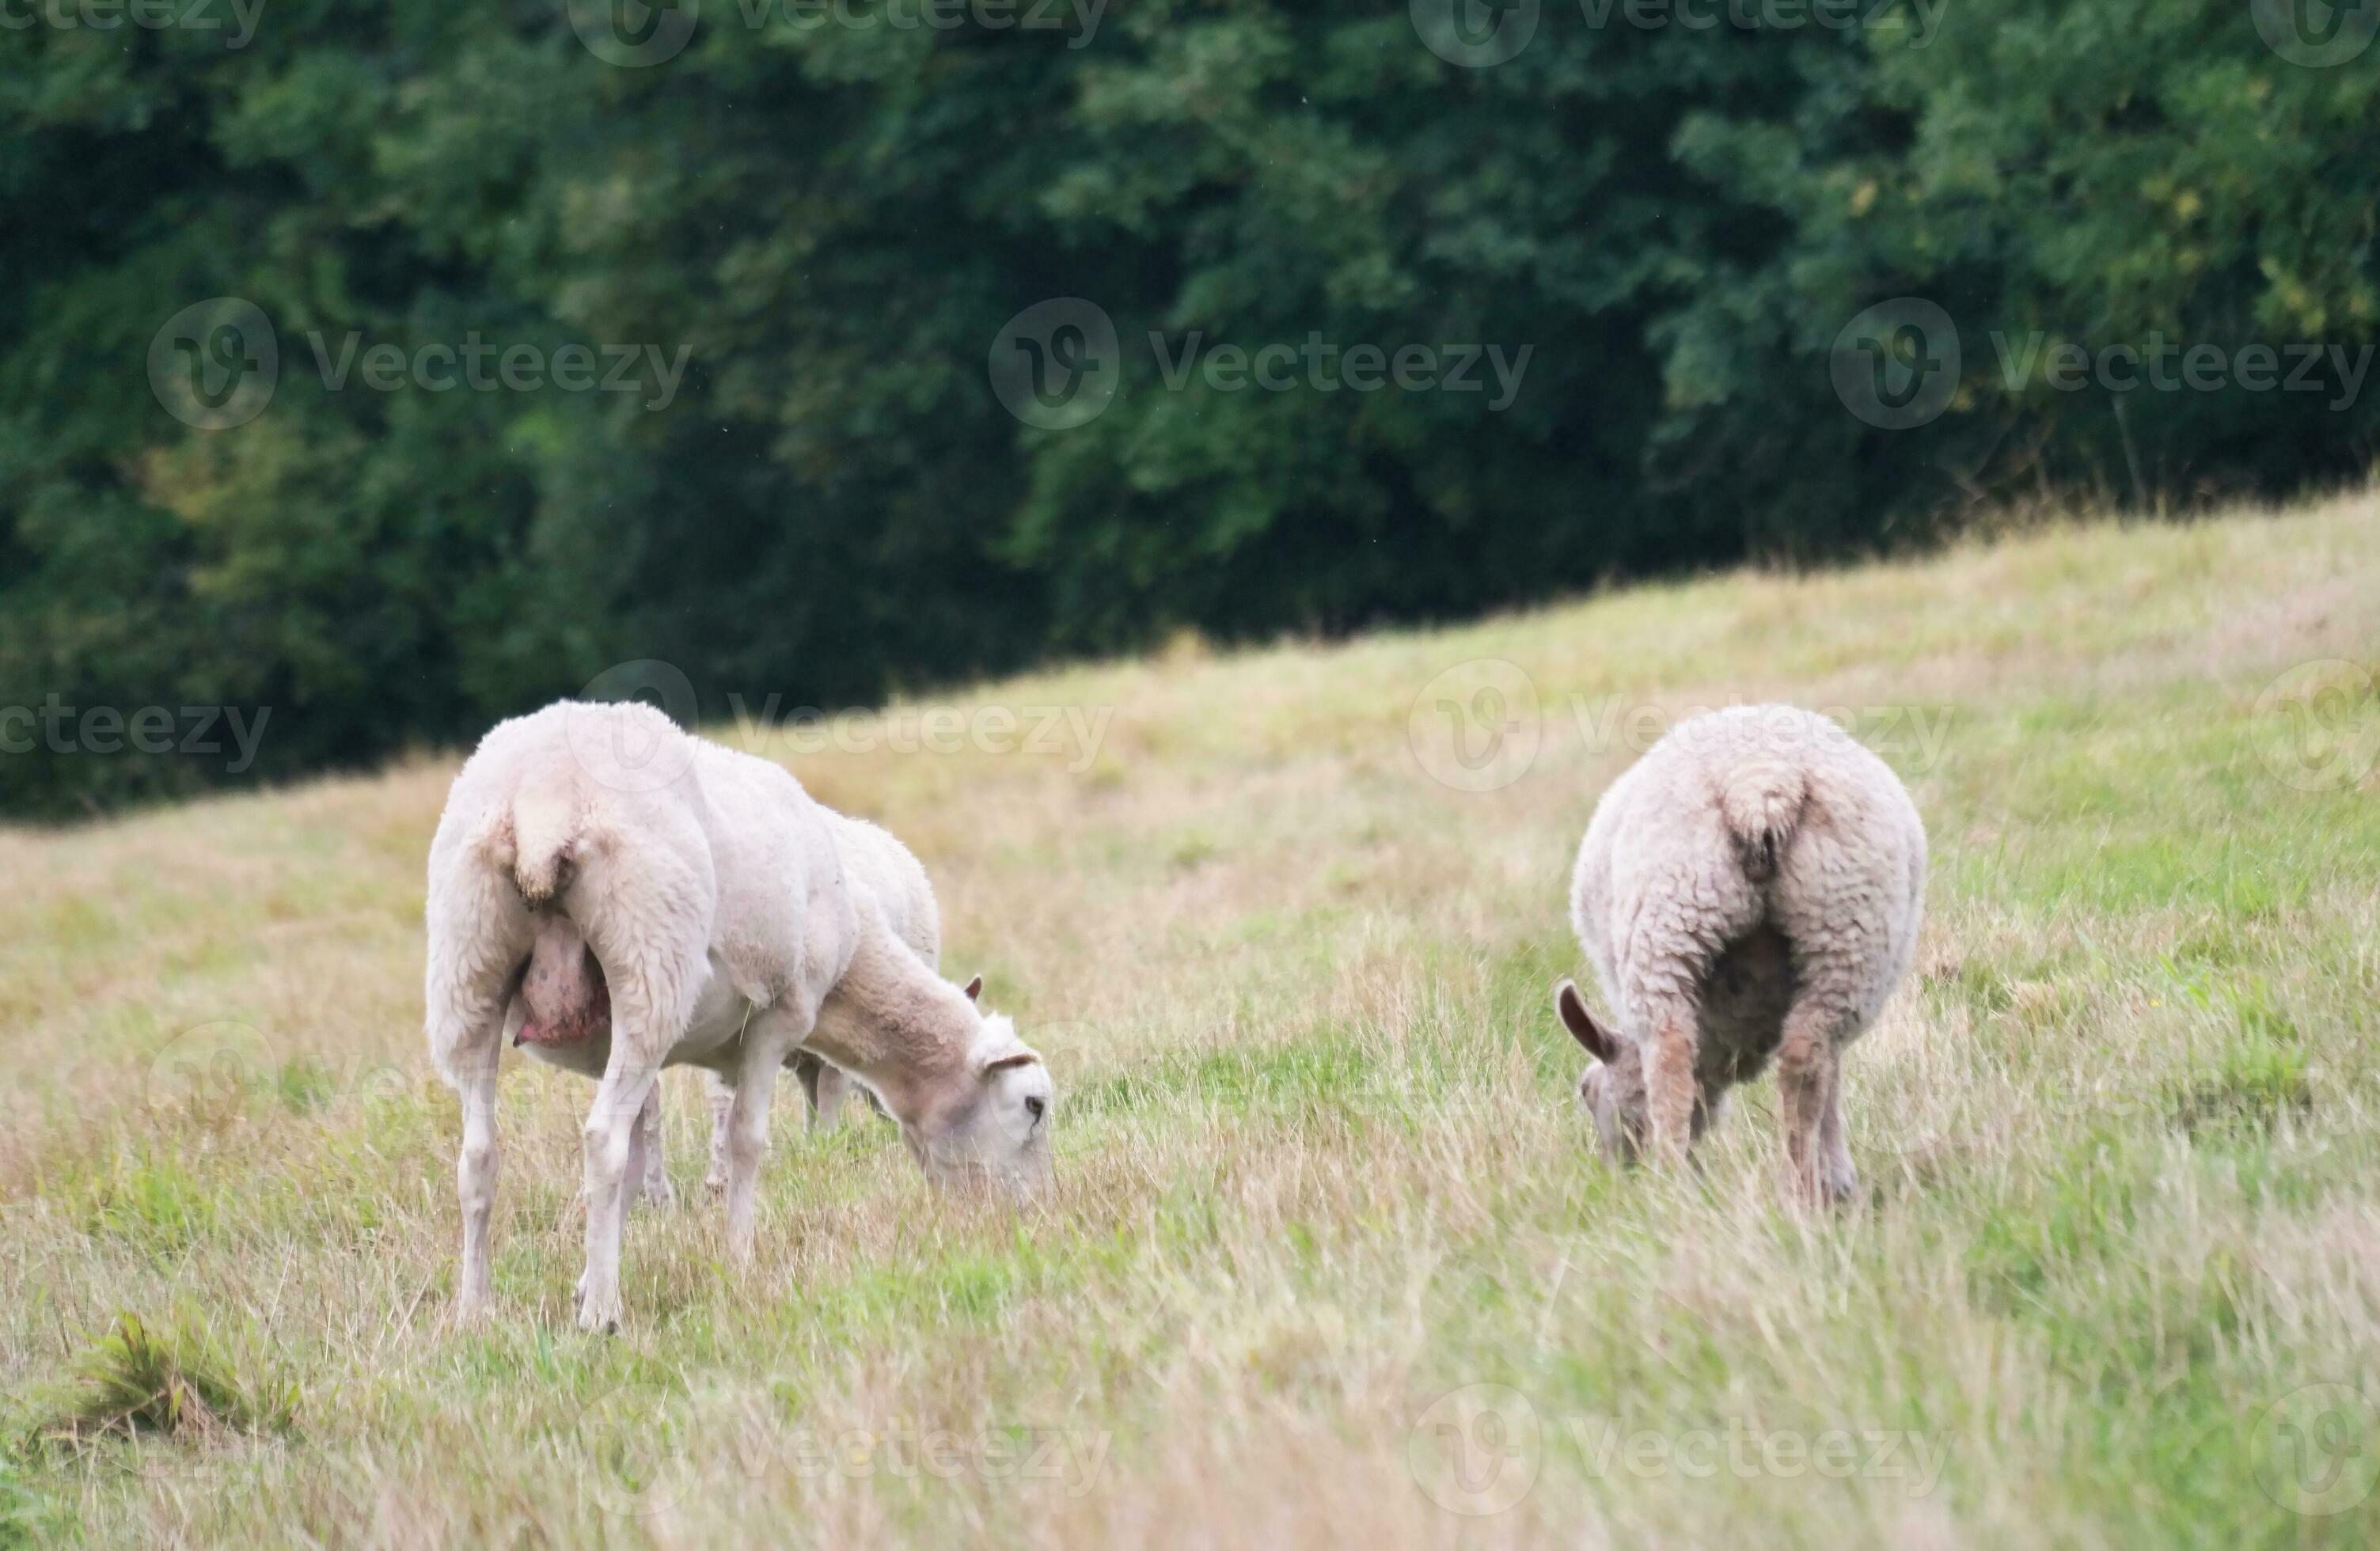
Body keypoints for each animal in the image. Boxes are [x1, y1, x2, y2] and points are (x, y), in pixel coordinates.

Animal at [425, 700, 1054, 1332]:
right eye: (1034, 1105)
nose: (1030, 1219)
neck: (853, 962)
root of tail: (543, 799)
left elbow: (637, 1164)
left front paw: (585, 1280)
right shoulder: (780, 1015)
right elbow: (744, 1141)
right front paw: (739, 1258)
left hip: (468, 969)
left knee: (477, 1158)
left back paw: (474, 1312)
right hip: (648, 963)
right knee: (600, 1142)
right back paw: (603, 1316)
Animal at [1552, 704, 1925, 1203]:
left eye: (1588, 1091)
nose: (1613, 1179)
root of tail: (1760, 784)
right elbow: (1831, 1078)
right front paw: (1839, 1180)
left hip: (1668, 922)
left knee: (1671, 1057)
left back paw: (1672, 1187)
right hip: (1846, 927)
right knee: (1807, 1059)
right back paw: (1801, 1186)